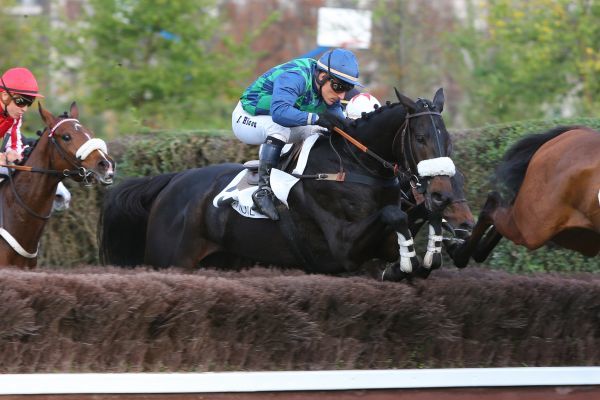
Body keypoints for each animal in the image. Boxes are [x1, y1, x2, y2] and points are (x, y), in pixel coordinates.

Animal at [101, 89, 458, 280]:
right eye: (421, 138)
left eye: (448, 139)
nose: (442, 193)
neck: (355, 165)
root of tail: (173, 181)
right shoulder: (341, 248)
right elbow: (393, 215)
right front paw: (409, 263)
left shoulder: (379, 243)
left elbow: (415, 221)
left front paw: (428, 254)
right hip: (169, 259)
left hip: (223, 260)